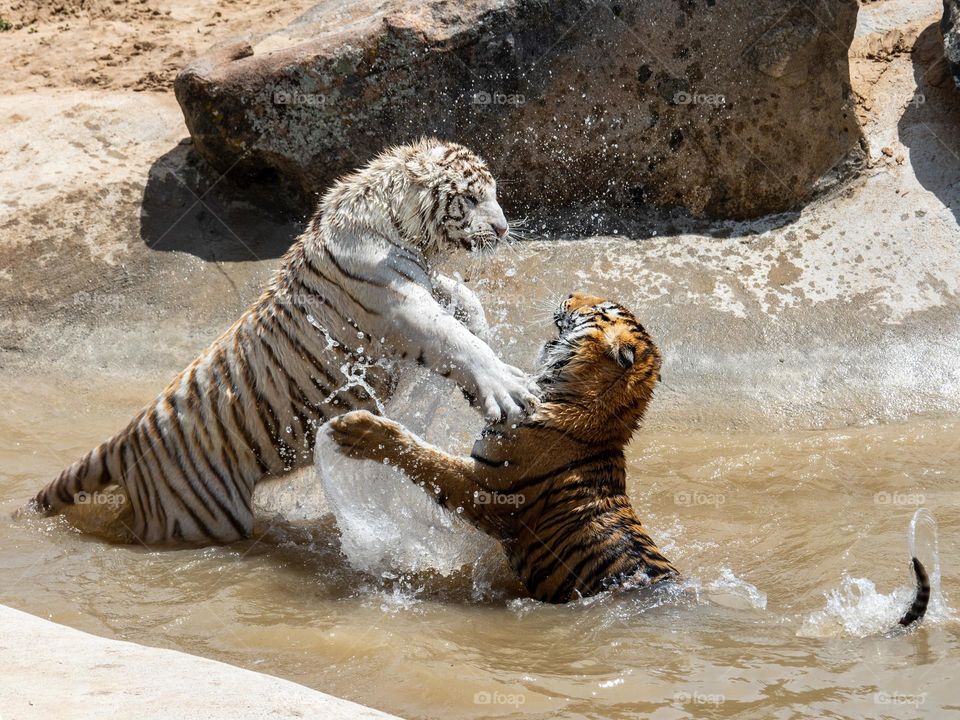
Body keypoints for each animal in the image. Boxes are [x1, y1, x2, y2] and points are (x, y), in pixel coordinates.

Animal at [31, 138, 539, 546]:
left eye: (493, 194)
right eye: (470, 198)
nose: (502, 229)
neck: (402, 228)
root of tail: (127, 435)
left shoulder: (423, 283)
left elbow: (464, 300)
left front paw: (483, 341)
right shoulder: (398, 305)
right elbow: (455, 338)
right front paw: (510, 389)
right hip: (199, 515)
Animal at [329, 292, 932, 625]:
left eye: (599, 309)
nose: (571, 288)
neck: (576, 396)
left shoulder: (484, 489)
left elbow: (420, 455)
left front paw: (354, 430)